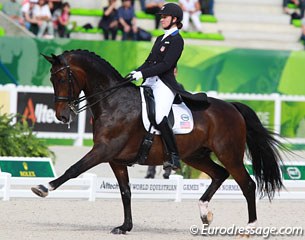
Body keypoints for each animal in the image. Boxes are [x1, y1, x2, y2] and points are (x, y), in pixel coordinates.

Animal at [31, 49, 282, 234]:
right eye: (52, 79)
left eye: (62, 78)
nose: (62, 116)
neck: (114, 101)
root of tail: (232, 107)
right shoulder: (116, 160)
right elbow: (126, 192)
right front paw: (125, 227)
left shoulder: (103, 150)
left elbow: (74, 169)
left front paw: (43, 187)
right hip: (195, 155)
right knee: (219, 174)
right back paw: (205, 214)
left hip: (228, 153)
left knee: (247, 184)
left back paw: (250, 227)